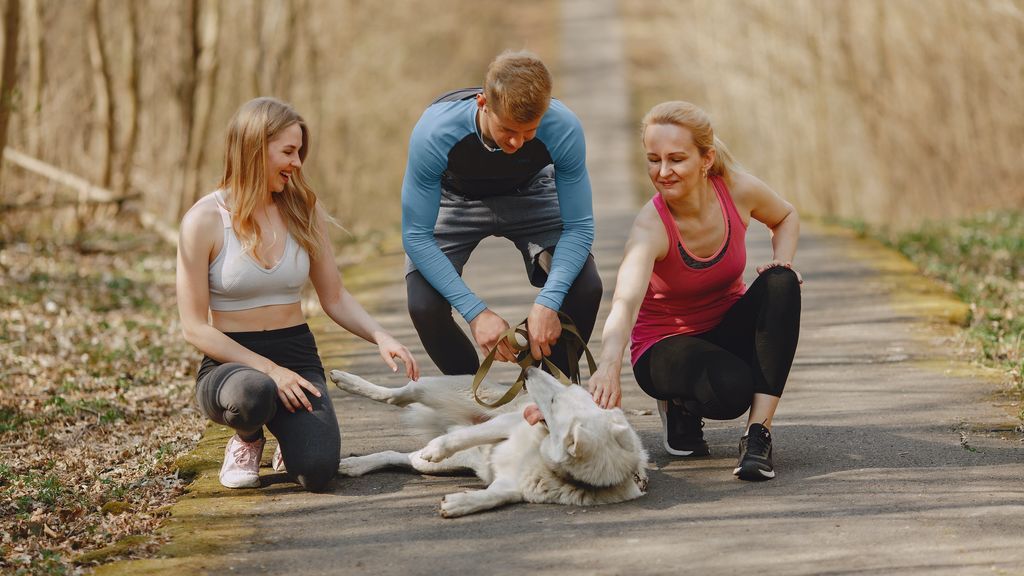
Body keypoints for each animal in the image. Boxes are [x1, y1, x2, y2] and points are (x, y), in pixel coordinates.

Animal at [327, 364, 647, 518]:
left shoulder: (512, 487)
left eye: (555, 401)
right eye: (566, 393)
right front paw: (439, 447)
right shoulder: (507, 423)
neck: (543, 457)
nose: (528, 370)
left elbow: (494, 496)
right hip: (445, 389)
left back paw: (354, 465)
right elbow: (468, 436)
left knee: (400, 455)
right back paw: (347, 380)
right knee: (402, 394)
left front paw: (460, 504)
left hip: (434, 465)